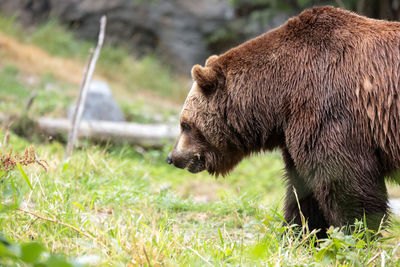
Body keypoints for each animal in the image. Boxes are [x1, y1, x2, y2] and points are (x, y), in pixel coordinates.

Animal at [166, 5, 400, 237]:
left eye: (184, 124)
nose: (172, 157)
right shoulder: (297, 131)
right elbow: (302, 189)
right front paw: (298, 233)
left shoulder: (331, 111)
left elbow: (345, 184)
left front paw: (354, 233)